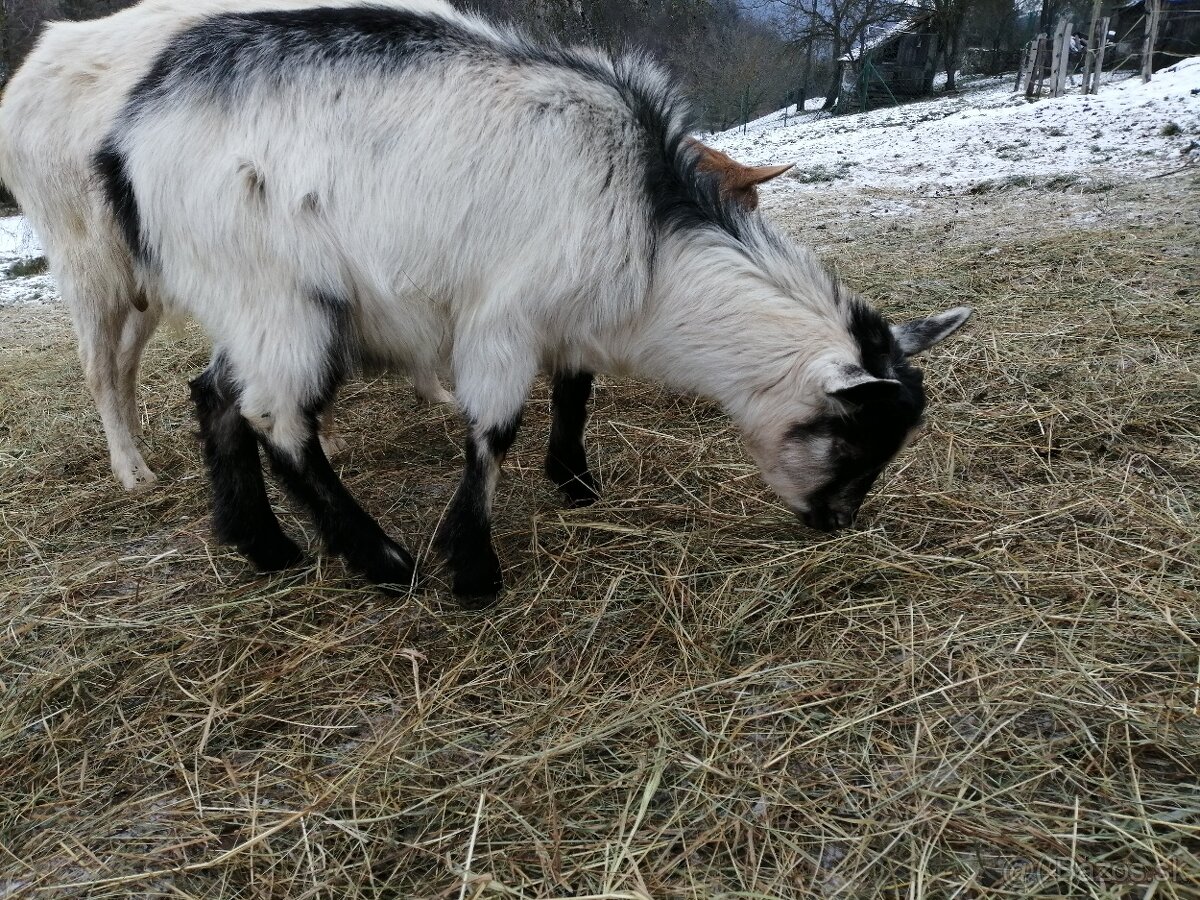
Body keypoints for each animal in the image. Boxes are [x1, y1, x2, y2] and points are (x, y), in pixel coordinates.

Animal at [0, 0, 453, 494]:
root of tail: (29, 74)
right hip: (92, 270)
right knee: (97, 368)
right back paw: (131, 470)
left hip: (146, 284)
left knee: (124, 360)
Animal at [93, 5, 974, 607]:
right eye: (854, 439)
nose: (837, 522)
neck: (650, 243)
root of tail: (125, 139)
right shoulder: (502, 319)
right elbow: (493, 432)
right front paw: (474, 569)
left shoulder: (572, 315)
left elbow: (576, 390)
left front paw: (574, 480)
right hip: (279, 295)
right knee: (279, 419)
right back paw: (382, 561)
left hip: (244, 300)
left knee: (216, 395)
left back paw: (265, 546)